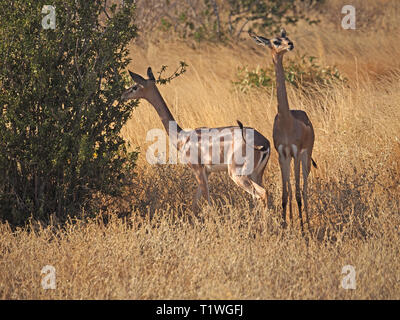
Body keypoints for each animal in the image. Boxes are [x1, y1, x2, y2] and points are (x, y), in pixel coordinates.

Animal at [121, 67, 272, 210]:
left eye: (135, 86)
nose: (122, 95)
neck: (182, 137)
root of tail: (265, 143)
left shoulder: (198, 170)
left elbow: (208, 203)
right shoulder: (206, 172)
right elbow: (194, 204)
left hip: (237, 174)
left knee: (262, 193)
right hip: (256, 174)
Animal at [248, 28, 318, 232]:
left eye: (286, 38)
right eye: (276, 41)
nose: (290, 44)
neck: (287, 121)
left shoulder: (295, 152)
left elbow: (297, 191)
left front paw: (302, 229)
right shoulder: (282, 154)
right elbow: (285, 193)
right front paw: (286, 223)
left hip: (305, 156)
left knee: (304, 188)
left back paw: (306, 224)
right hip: (292, 158)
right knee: (292, 188)